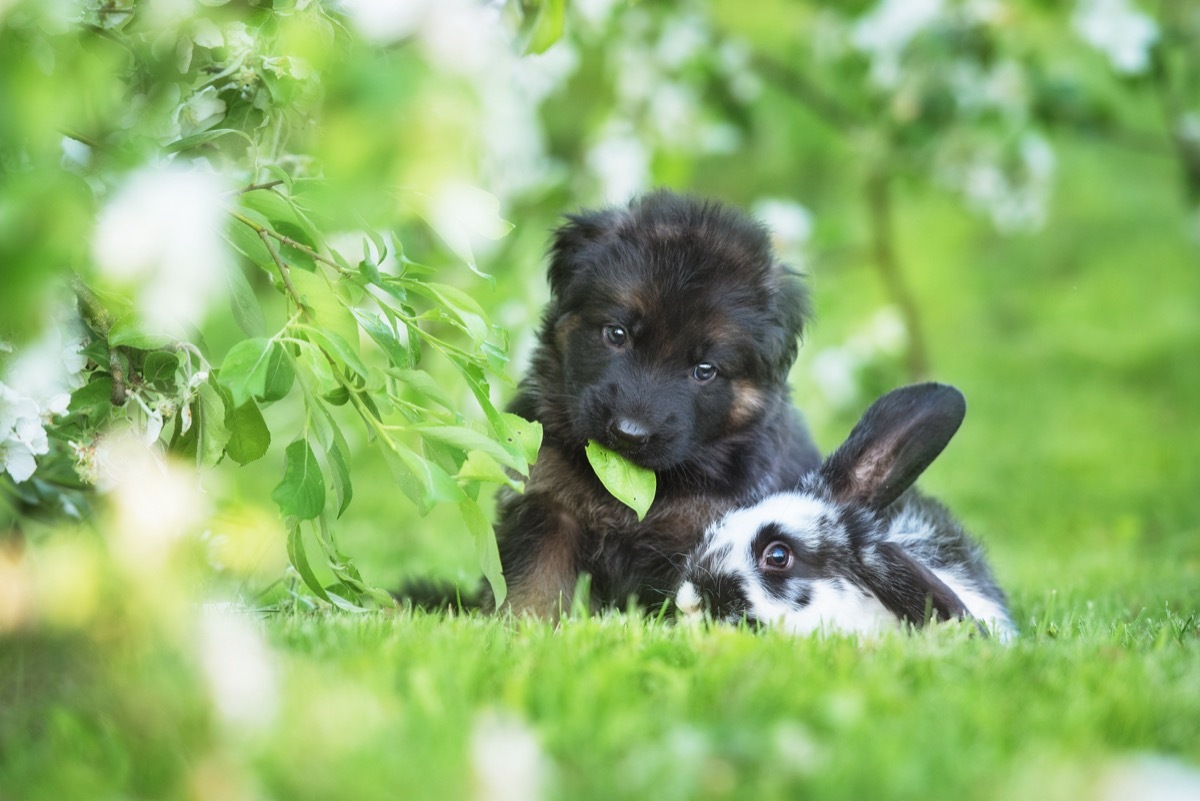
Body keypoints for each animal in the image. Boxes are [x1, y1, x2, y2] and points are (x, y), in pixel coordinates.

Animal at [489, 191, 825, 613]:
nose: (629, 434)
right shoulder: (548, 503)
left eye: (704, 369)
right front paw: (521, 625)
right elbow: (535, 589)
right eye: (616, 334)